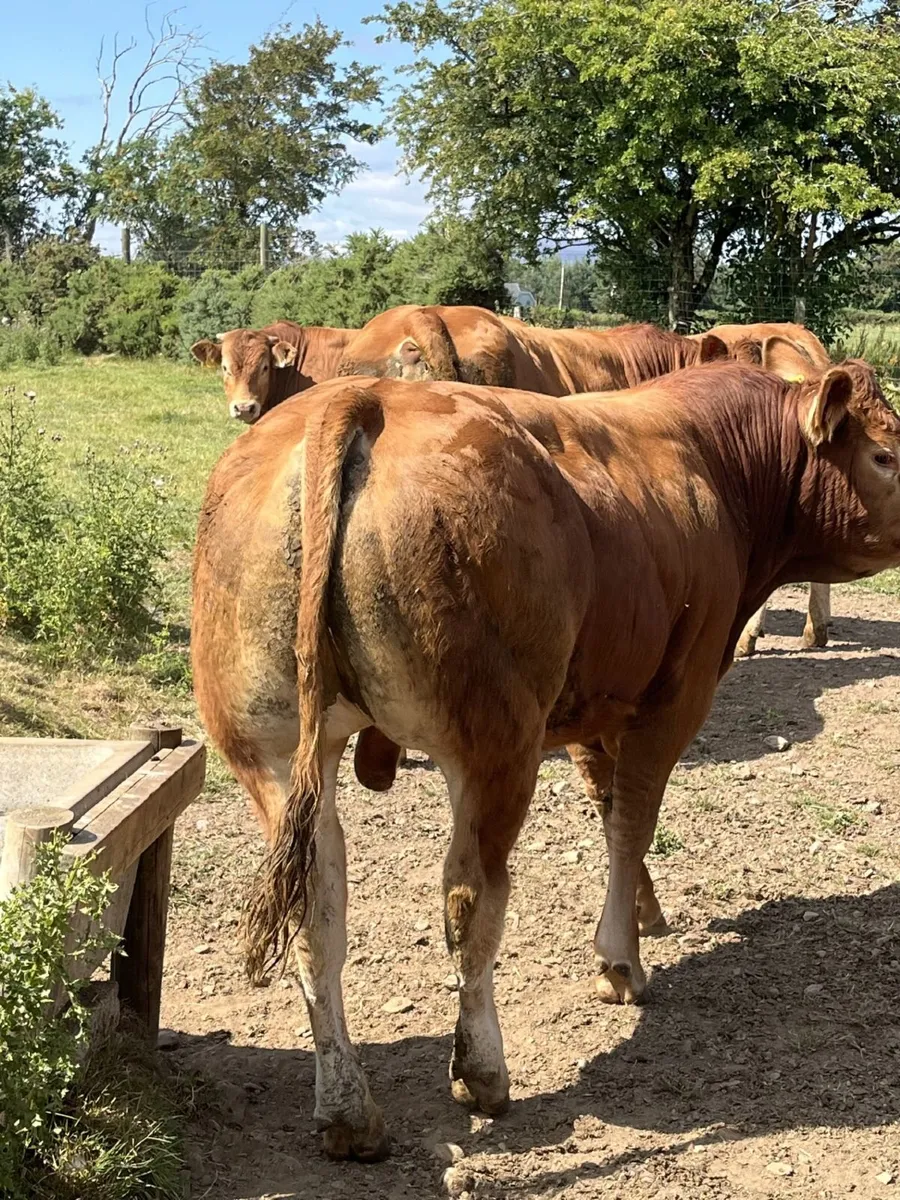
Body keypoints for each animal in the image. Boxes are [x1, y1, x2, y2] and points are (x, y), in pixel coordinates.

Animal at [192, 356, 900, 1159]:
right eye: (884, 455)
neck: (717, 463)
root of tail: (363, 395)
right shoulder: (676, 695)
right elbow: (634, 816)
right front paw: (621, 959)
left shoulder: (595, 699)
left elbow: (610, 805)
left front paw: (644, 910)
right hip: (494, 747)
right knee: (469, 899)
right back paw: (483, 1072)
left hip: (273, 757)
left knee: (318, 912)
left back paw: (347, 1111)